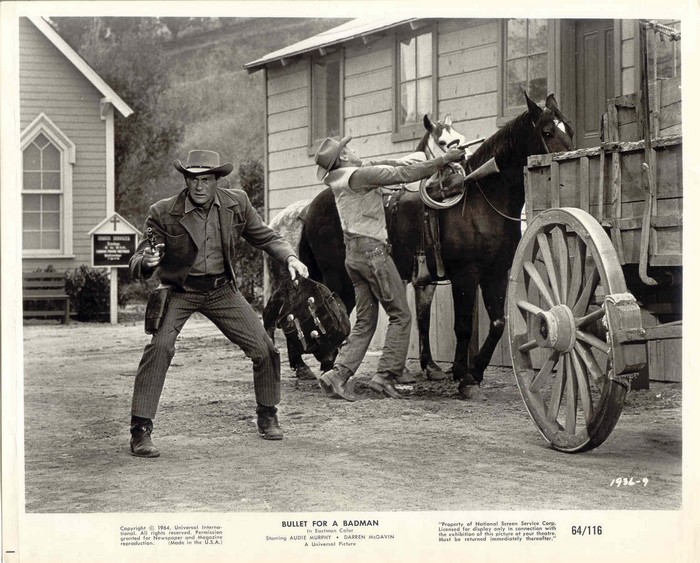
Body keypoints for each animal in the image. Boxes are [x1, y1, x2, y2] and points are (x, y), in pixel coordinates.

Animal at [266, 93, 572, 400]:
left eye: (567, 127)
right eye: (547, 132)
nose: (568, 161)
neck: (479, 201)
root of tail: (311, 207)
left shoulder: (494, 273)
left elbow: (497, 323)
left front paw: (472, 370)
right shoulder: (465, 274)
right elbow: (462, 326)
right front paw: (463, 378)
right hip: (335, 278)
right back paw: (323, 367)